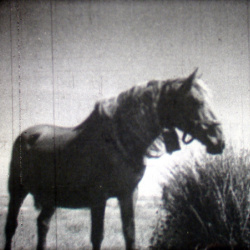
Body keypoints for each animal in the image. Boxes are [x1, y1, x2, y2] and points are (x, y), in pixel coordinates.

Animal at [3, 69, 225, 250]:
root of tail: (27, 134)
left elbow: (130, 234)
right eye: (195, 101)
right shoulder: (98, 198)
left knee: (43, 225)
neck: (120, 141)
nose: (219, 141)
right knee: (11, 227)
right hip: (17, 191)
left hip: (50, 198)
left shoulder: (128, 194)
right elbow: (97, 237)